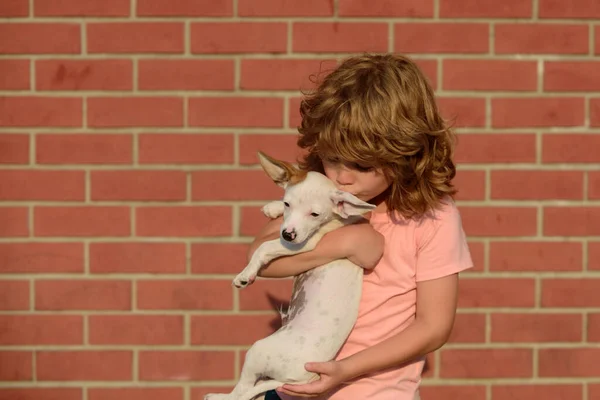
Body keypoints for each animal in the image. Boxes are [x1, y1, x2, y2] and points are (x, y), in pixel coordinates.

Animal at [206, 152, 376, 398]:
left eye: (314, 214)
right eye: (288, 204)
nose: (287, 234)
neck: (337, 219)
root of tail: (303, 378)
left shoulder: (305, 244)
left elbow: (264, 247)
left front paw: (246, 275)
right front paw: (273, 207)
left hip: (258, 351)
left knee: (242, 392)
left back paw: (218, 396)